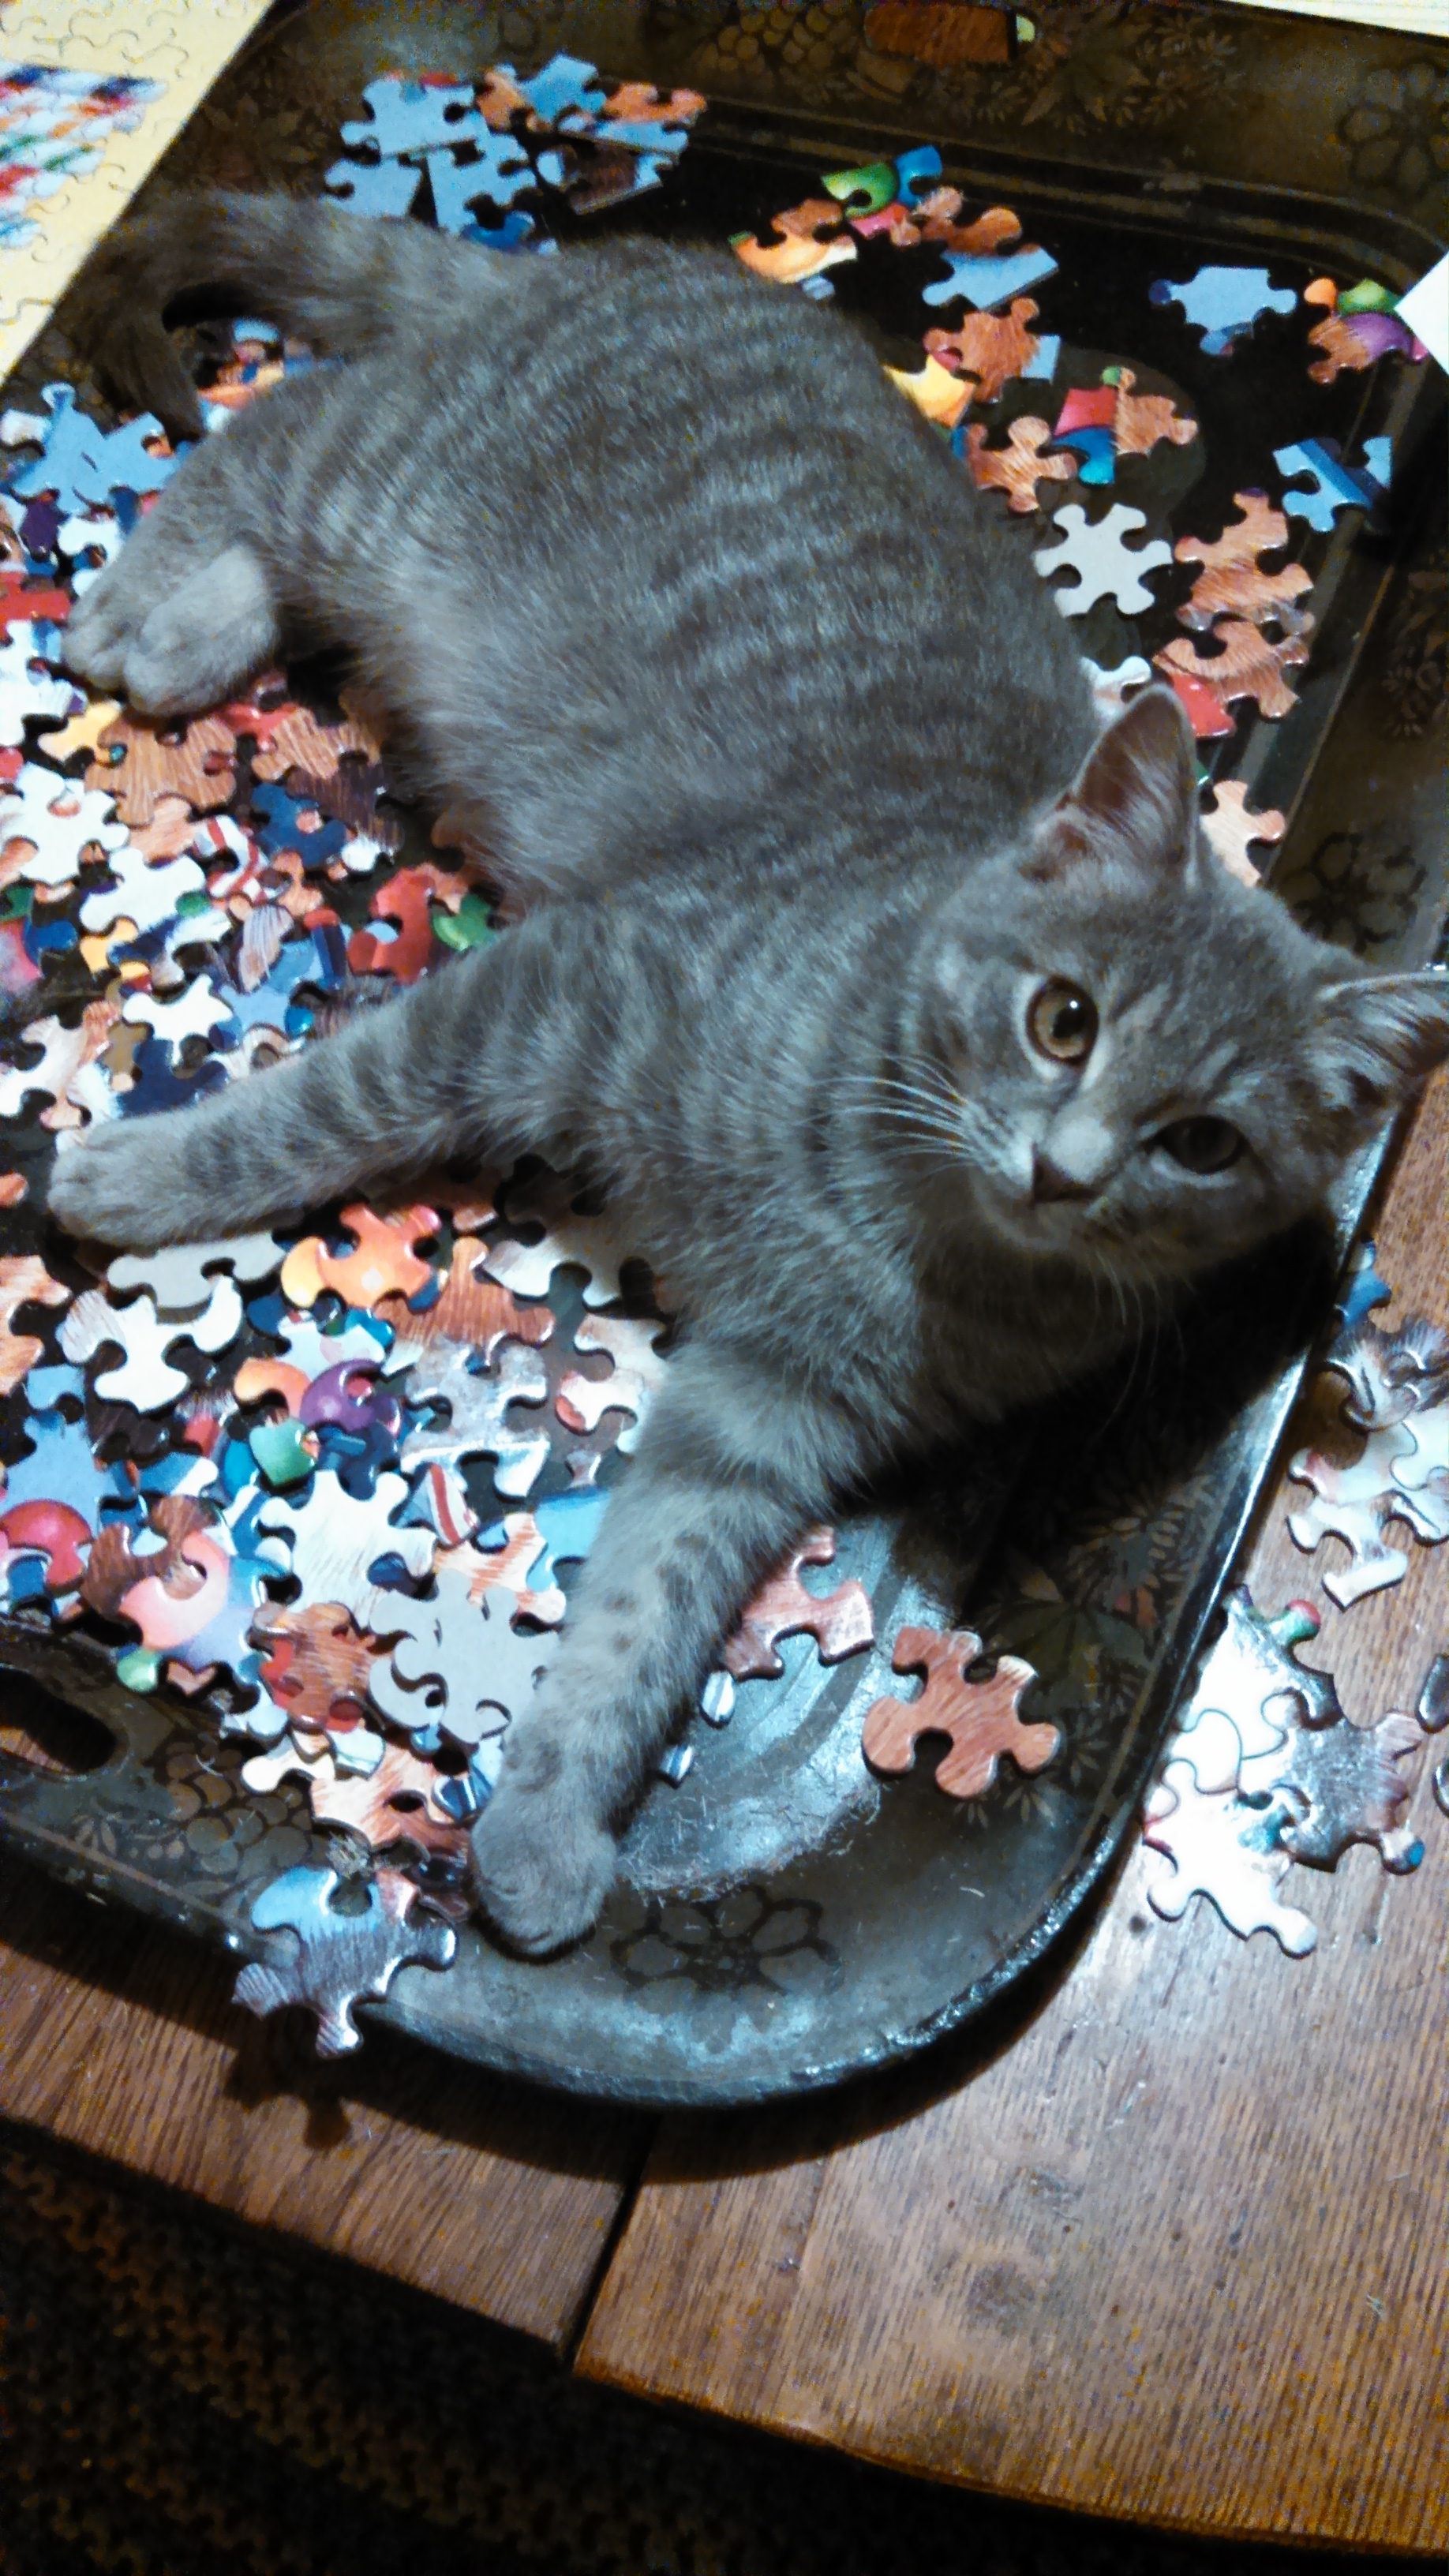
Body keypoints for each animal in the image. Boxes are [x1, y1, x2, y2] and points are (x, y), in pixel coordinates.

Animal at [48, 192, 1449, 1956]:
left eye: (1202, 1143)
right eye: (1063, 1020)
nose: (1065, 1170)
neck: (901, 1211)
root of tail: (634, 270)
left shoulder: (769, 1408)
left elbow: (649, 1608)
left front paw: (555, 1817)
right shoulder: (551, 991)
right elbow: (313, 1112)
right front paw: (142, 1173)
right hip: (385, 489)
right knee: (263, 432)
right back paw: (154, 612)